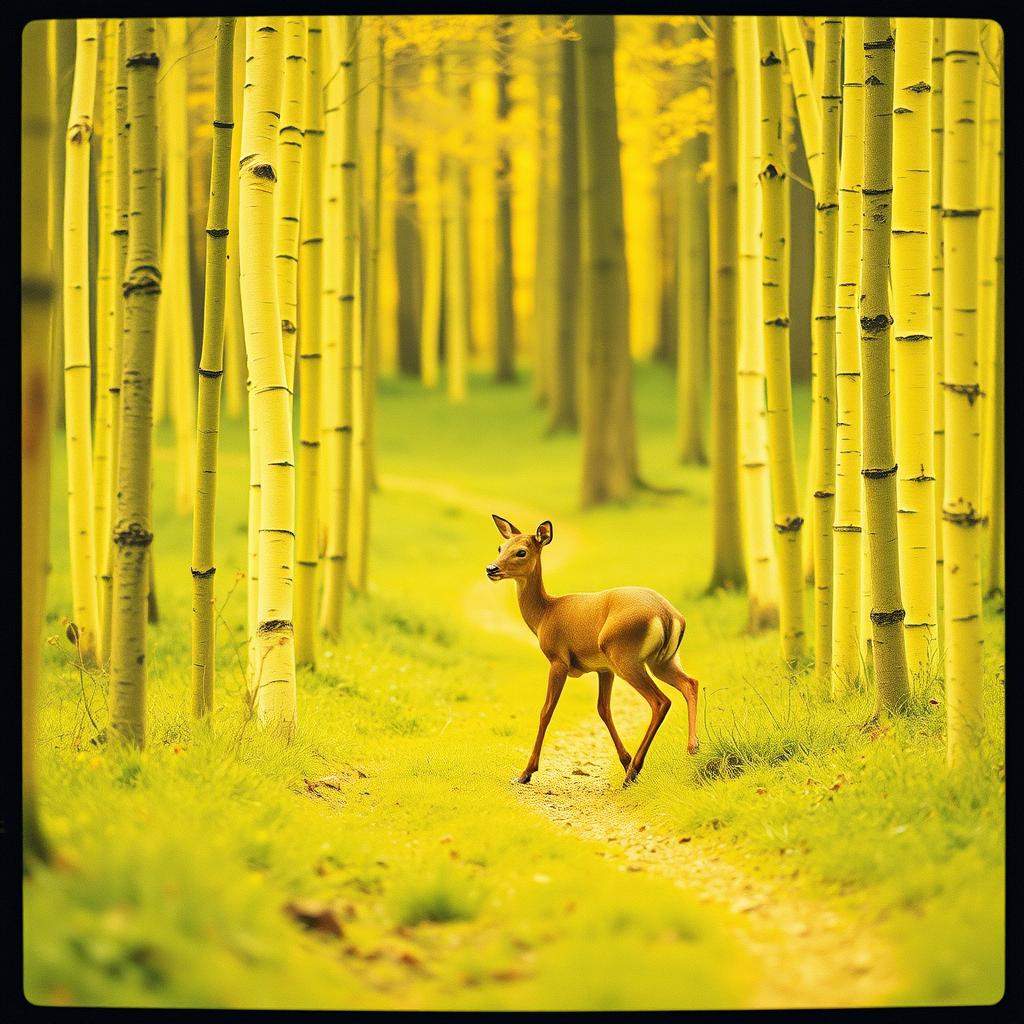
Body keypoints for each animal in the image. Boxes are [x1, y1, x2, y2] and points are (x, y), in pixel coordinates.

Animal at [485, 514, 700, 788]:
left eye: (521, 551)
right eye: (500, 547)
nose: (491, 569)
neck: (545, 615)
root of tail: (669, 615)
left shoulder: (558, 659)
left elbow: (546, 711)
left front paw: (526, 772)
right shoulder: (603, 669)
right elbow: (603, 709)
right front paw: (625, 759)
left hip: (624, 655)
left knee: (661, 701)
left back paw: (633, 773)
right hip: (662, 660)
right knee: (690, 683)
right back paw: (691, 747)